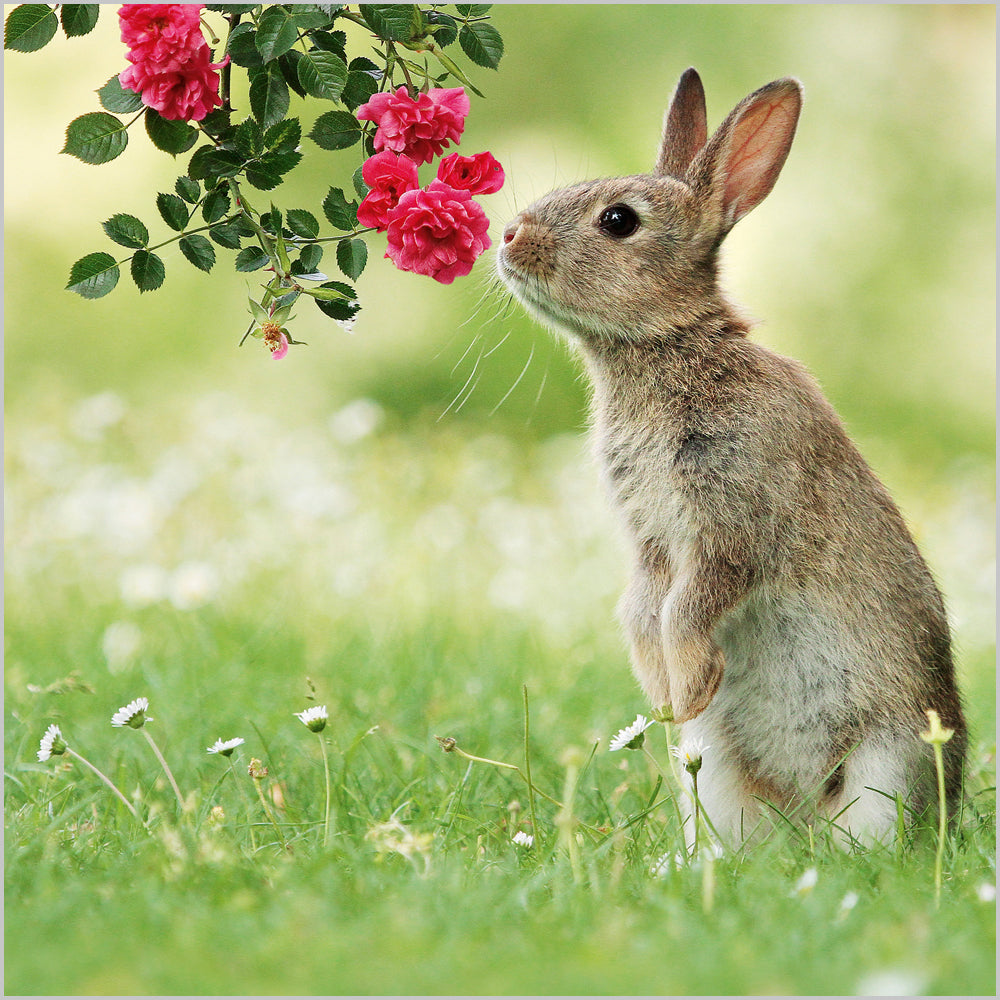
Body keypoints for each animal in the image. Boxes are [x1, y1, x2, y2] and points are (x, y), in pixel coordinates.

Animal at [496, 68, 966, 848]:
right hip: (715, 769)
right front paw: (666, 698)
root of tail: (802, 815)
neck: (670, 346)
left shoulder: (732, 519)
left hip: (888, 760)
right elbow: (641, 607)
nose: (507, 236)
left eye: (618, 221)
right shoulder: (651, 541)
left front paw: (685, 689)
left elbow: (692, 605)